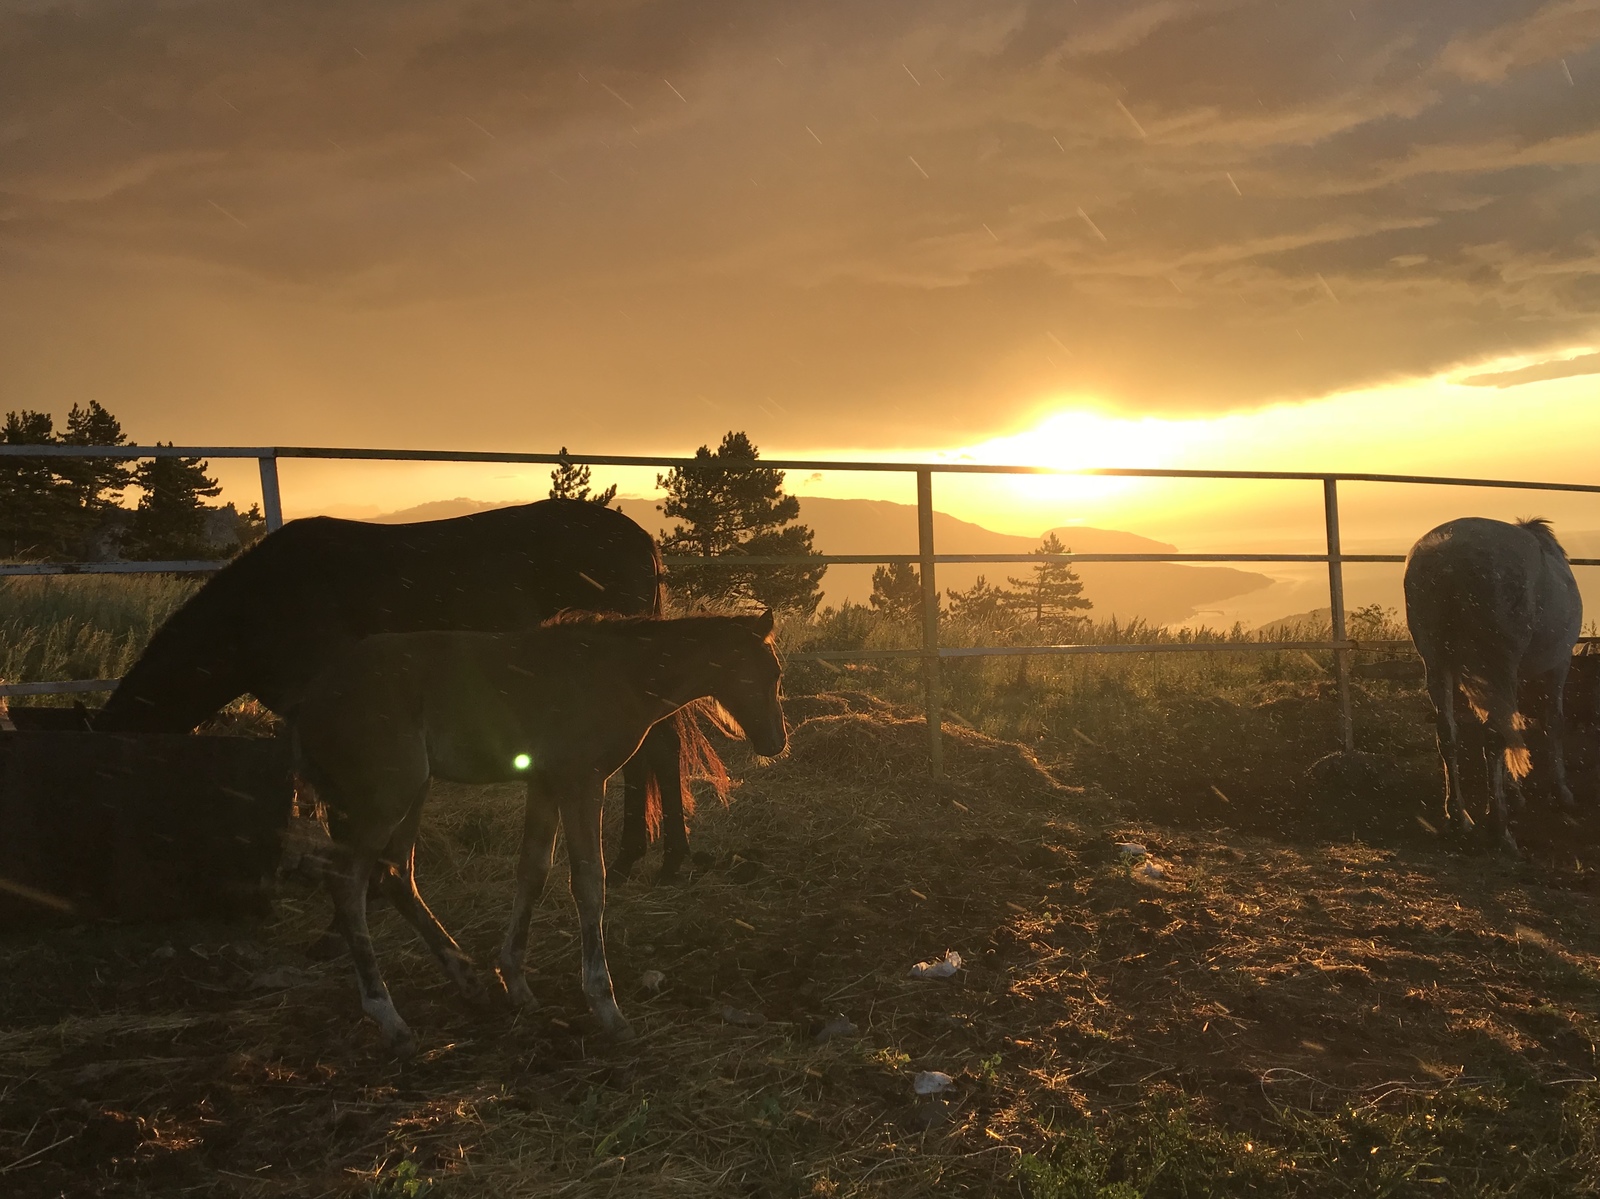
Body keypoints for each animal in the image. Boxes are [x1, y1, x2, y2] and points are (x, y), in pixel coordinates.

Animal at [294, 611, 787, 1050]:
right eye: (772, 674)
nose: (775, 742)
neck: (619, 674)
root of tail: (312, 695)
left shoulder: (545, 784)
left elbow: (533, 872)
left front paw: (514, 982)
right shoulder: (581, 782)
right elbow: (589, 883)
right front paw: (605, 1006)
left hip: (413, 792)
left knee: (397, 874)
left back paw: (467, 980)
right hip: (386, 797)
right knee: (350, 884)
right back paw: (388, 1015)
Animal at [1408, 518, 1580, 845]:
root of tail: (1449, 555)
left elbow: (1514, 724)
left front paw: (1515, 794)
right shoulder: (1559, 665)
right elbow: (1553, 722)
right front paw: (1561, 793)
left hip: (1437, 663)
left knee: (1448, 734)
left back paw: (1459, 817)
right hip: (1498, 664)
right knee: (1493, 736)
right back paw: (1498, 825)